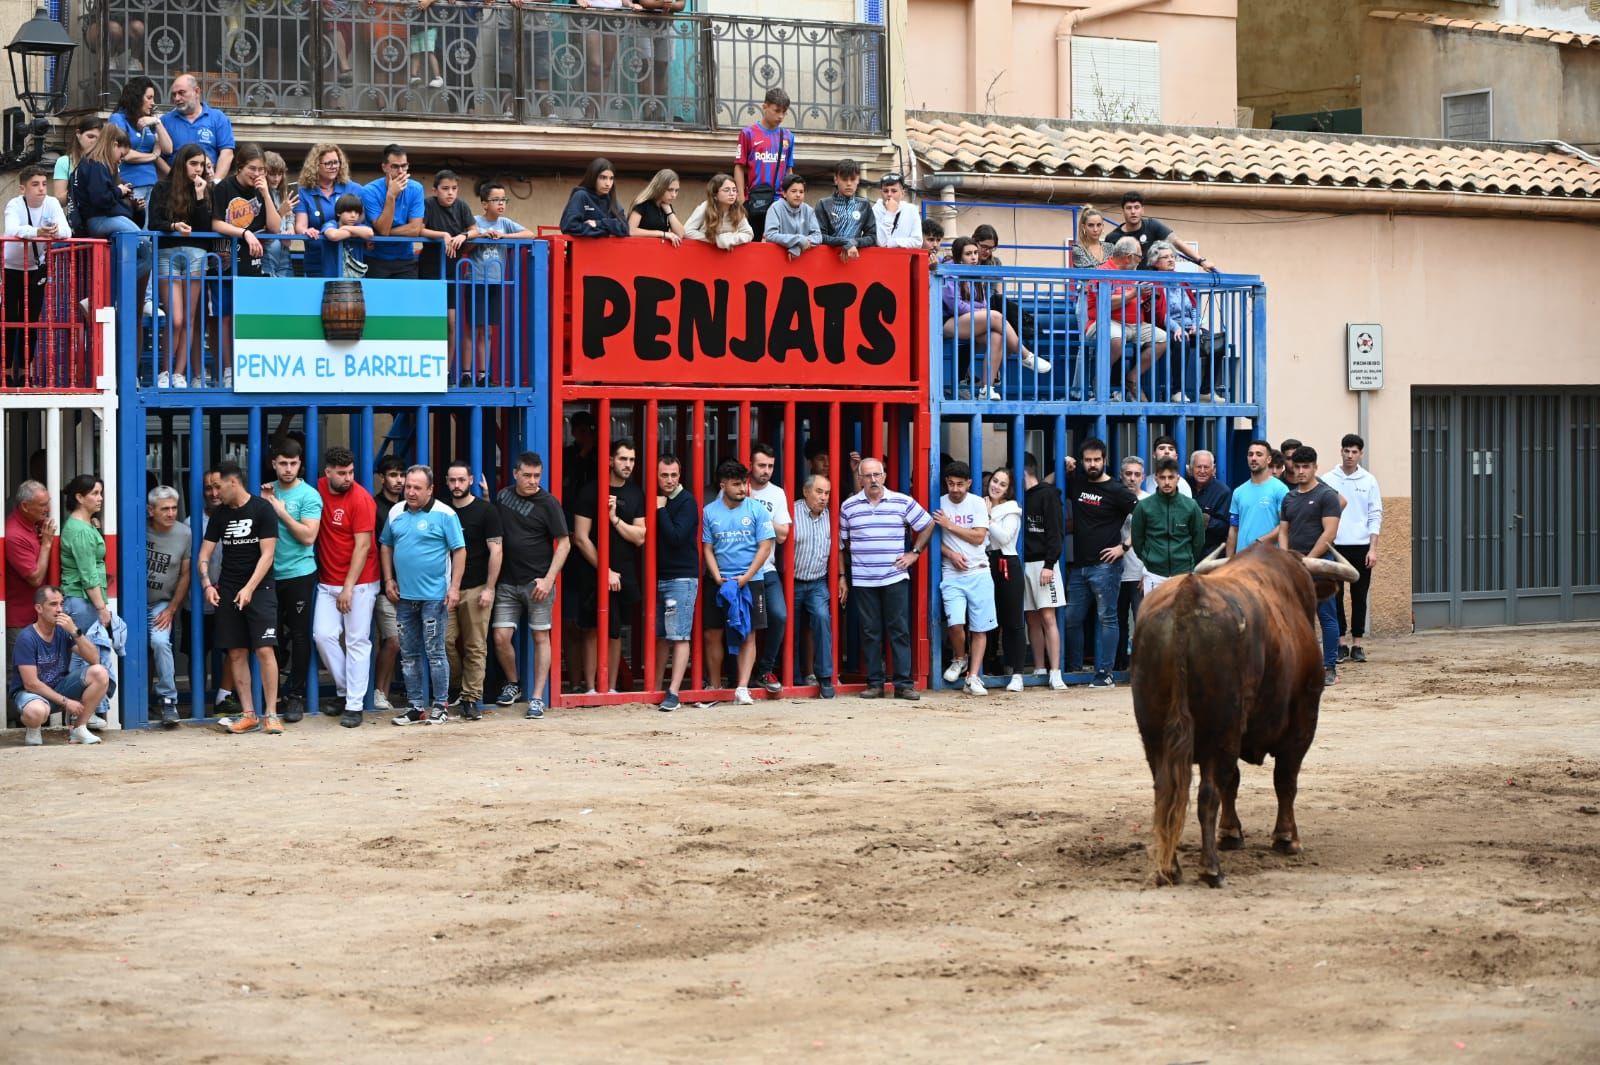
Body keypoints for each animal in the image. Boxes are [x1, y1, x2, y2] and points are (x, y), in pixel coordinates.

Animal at [1132, 543, 1356, 882]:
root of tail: (1187, 596)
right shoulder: (1303, 718)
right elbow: (1285, 779)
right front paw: (1287, 838)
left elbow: (1235, 781)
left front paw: (1231, 833)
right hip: (1219, 732)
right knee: (1208, 793)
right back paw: (1211, 868)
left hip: (1154, 734)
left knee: (1166, 791)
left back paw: (1170, 868)